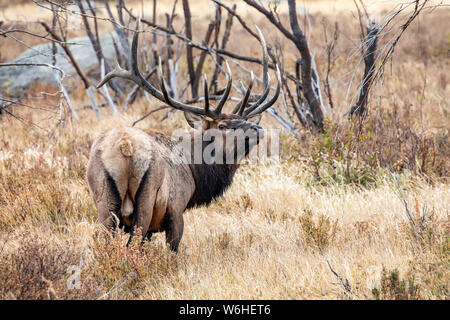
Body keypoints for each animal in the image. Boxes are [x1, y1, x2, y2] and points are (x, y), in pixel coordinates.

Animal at [86, 18, 280, 252]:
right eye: (223, 125)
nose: (257, 128)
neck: (195, 172)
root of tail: (125, 147)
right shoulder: (176, 209)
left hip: (103, 199)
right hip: (146, 198)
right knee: (132, 244)